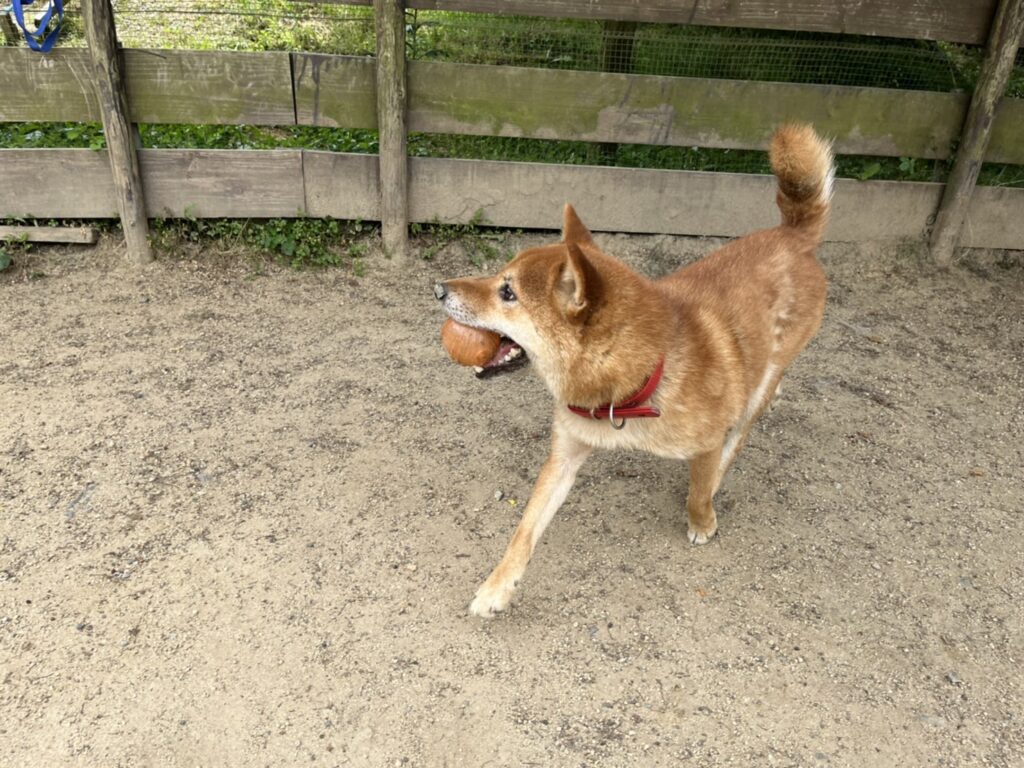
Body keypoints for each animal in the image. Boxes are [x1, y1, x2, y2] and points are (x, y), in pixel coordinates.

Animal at [435, 124, 832, 617]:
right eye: (498, 278)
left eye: (508, 292)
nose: (438, 288)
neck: (631, 383)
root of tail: (793, 234)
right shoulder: (564, 456)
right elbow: (524, 528)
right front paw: (496, 587)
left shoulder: (704, 440)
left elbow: (699, 489)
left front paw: (703, 520)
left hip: (762, 380)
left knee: (740, 431)